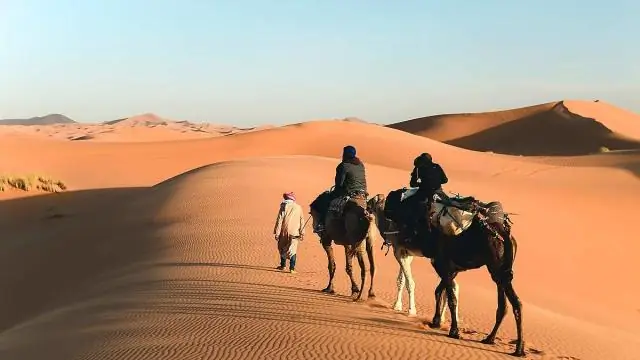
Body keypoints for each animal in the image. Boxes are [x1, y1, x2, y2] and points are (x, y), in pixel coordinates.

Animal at [368, 188, 524, 358]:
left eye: (371, 203)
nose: (366, 208)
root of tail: (505, 234)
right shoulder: (443, 265)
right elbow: (439, 290)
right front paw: (436, 320)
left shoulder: (431, 260)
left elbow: (448, 296)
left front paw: (452, 330)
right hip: (499, 271)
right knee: (505, 305)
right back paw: (492, 339)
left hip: (496, 269)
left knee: (515, 303)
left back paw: (518, 349)